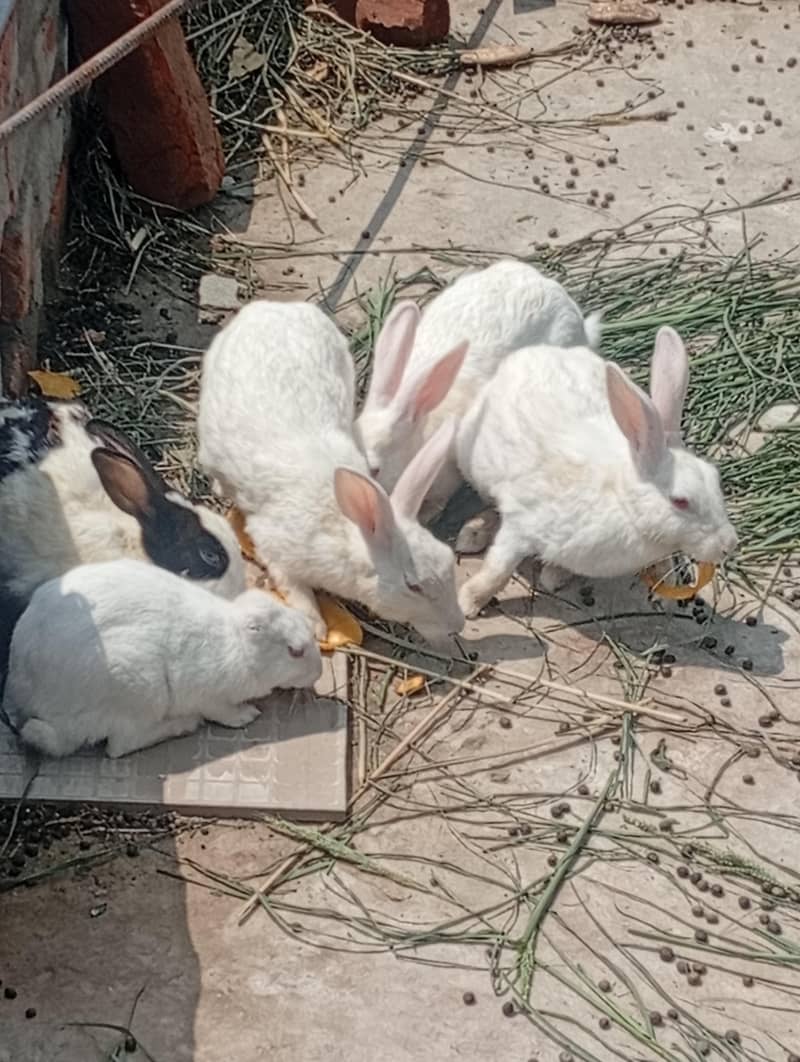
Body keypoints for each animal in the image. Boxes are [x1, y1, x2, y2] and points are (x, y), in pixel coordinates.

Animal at [3, 559, 322, 759]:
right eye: (295, 651)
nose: (318, 673)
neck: (239, 648)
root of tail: (26, 700)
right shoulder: (208, 697)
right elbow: (223, 712)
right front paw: (247, 715)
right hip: (141, 686)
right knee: (120, 745)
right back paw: (184, 724)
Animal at [197, 300, 465, 647]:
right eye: (414, 586)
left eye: (448, 559)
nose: (457, 625)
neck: (348, 531)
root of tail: (271, 308)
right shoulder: (276, 548)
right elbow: (292, 585)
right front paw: (315, 626)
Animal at [454, 327, 738, 619]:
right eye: (680, 501)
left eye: (715, 479)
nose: (729, 545)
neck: (624, 504)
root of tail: (530, 353)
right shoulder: (520, 527)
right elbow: (497, 570)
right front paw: (468, 604)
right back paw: (472, 535)